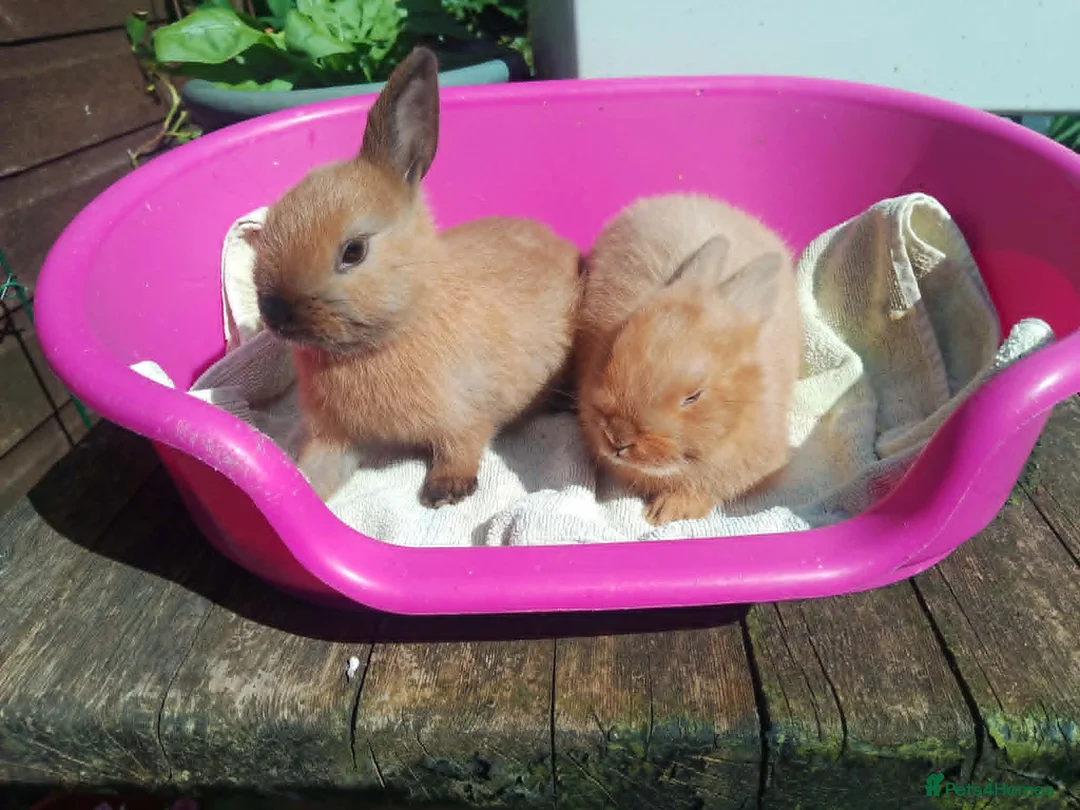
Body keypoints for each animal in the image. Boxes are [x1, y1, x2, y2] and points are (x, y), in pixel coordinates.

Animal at [247, 46, 582, 507]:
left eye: (354, 251)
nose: (275, 314)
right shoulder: (332, 436)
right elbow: (318, 468)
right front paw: (302, 487)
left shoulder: (464, 416)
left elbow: (463, 444)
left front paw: (445, 491)